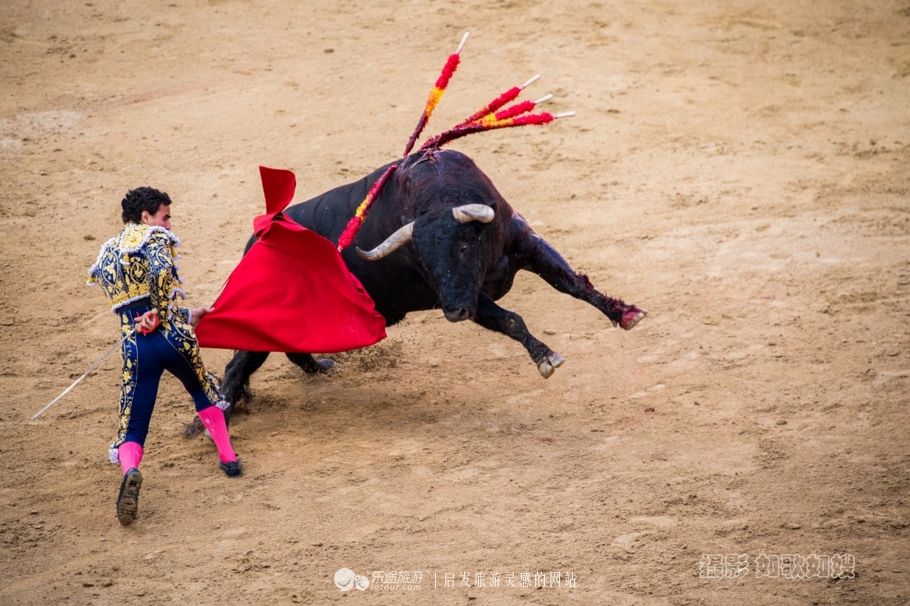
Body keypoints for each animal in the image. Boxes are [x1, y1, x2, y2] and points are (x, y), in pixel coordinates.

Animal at [219, 148, 648, 414]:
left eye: (462, 248)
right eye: (423, 260)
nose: (454, 315)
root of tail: (256, 241)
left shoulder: (524, 245)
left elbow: (572, 283)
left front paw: (625, 313)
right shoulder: (464, 295)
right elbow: (510, 319)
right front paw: (546, 357)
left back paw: (321, 368)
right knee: (239, 364)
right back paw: (218, 415)